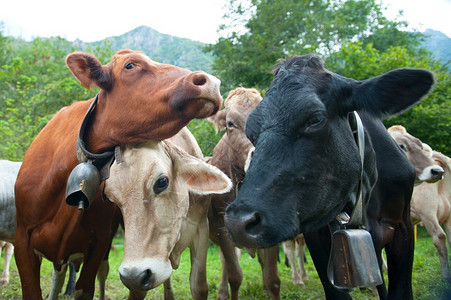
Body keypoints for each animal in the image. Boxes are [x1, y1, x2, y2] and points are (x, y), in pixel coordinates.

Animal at [104, 127, 231, 300]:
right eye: (112, 198)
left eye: (162, 182)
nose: (134, 276)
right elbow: (137, 291)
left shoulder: (201, 227)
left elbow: (199, 286)